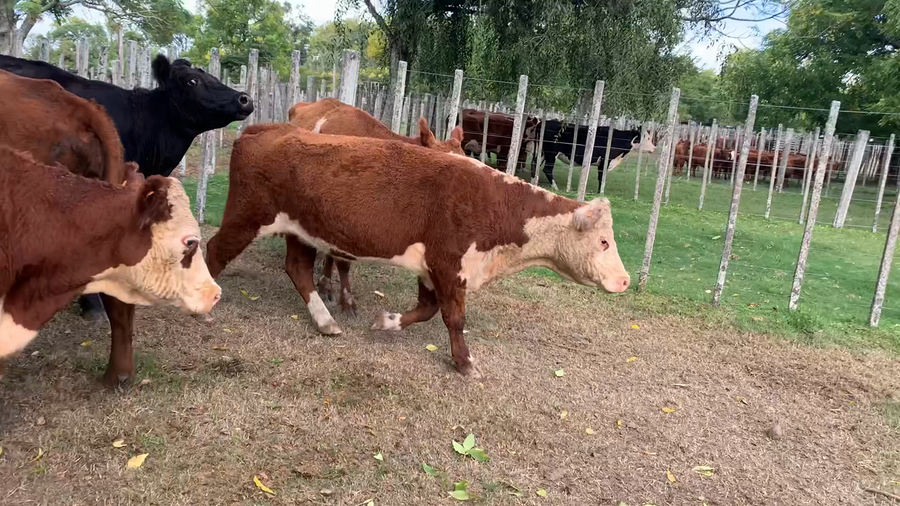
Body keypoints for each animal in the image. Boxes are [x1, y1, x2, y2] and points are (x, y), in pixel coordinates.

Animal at [205, 124, 630, 377]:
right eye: (604, 241)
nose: (625, 280)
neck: (495, 203)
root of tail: (263, 128)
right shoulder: (448, 264)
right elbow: (454, 318)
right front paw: (465, 363)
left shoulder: (433, 268)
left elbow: (426, 311)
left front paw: (386, 322)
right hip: (246, 217)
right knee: (213, 252)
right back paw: (205, 307)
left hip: (302, 231)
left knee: (297, 269)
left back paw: (326, 321)